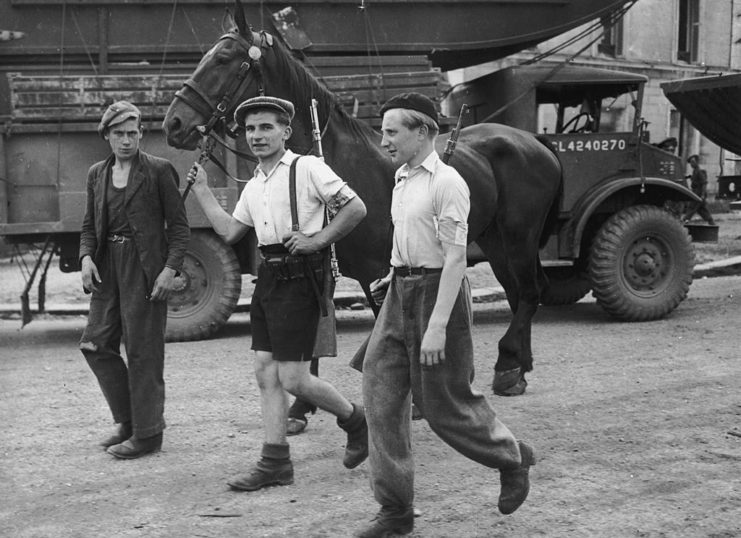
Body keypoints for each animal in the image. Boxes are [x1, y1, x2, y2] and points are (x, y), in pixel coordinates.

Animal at [163, 1, 560, 394]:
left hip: (518, 238)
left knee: (529, 291)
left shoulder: (375, 272)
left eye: (223, 58)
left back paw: (508, 365)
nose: (173, 123)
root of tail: (532, 139)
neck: (331, 159)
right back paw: (517, 366)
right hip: (494, 240)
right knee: (520, 292)